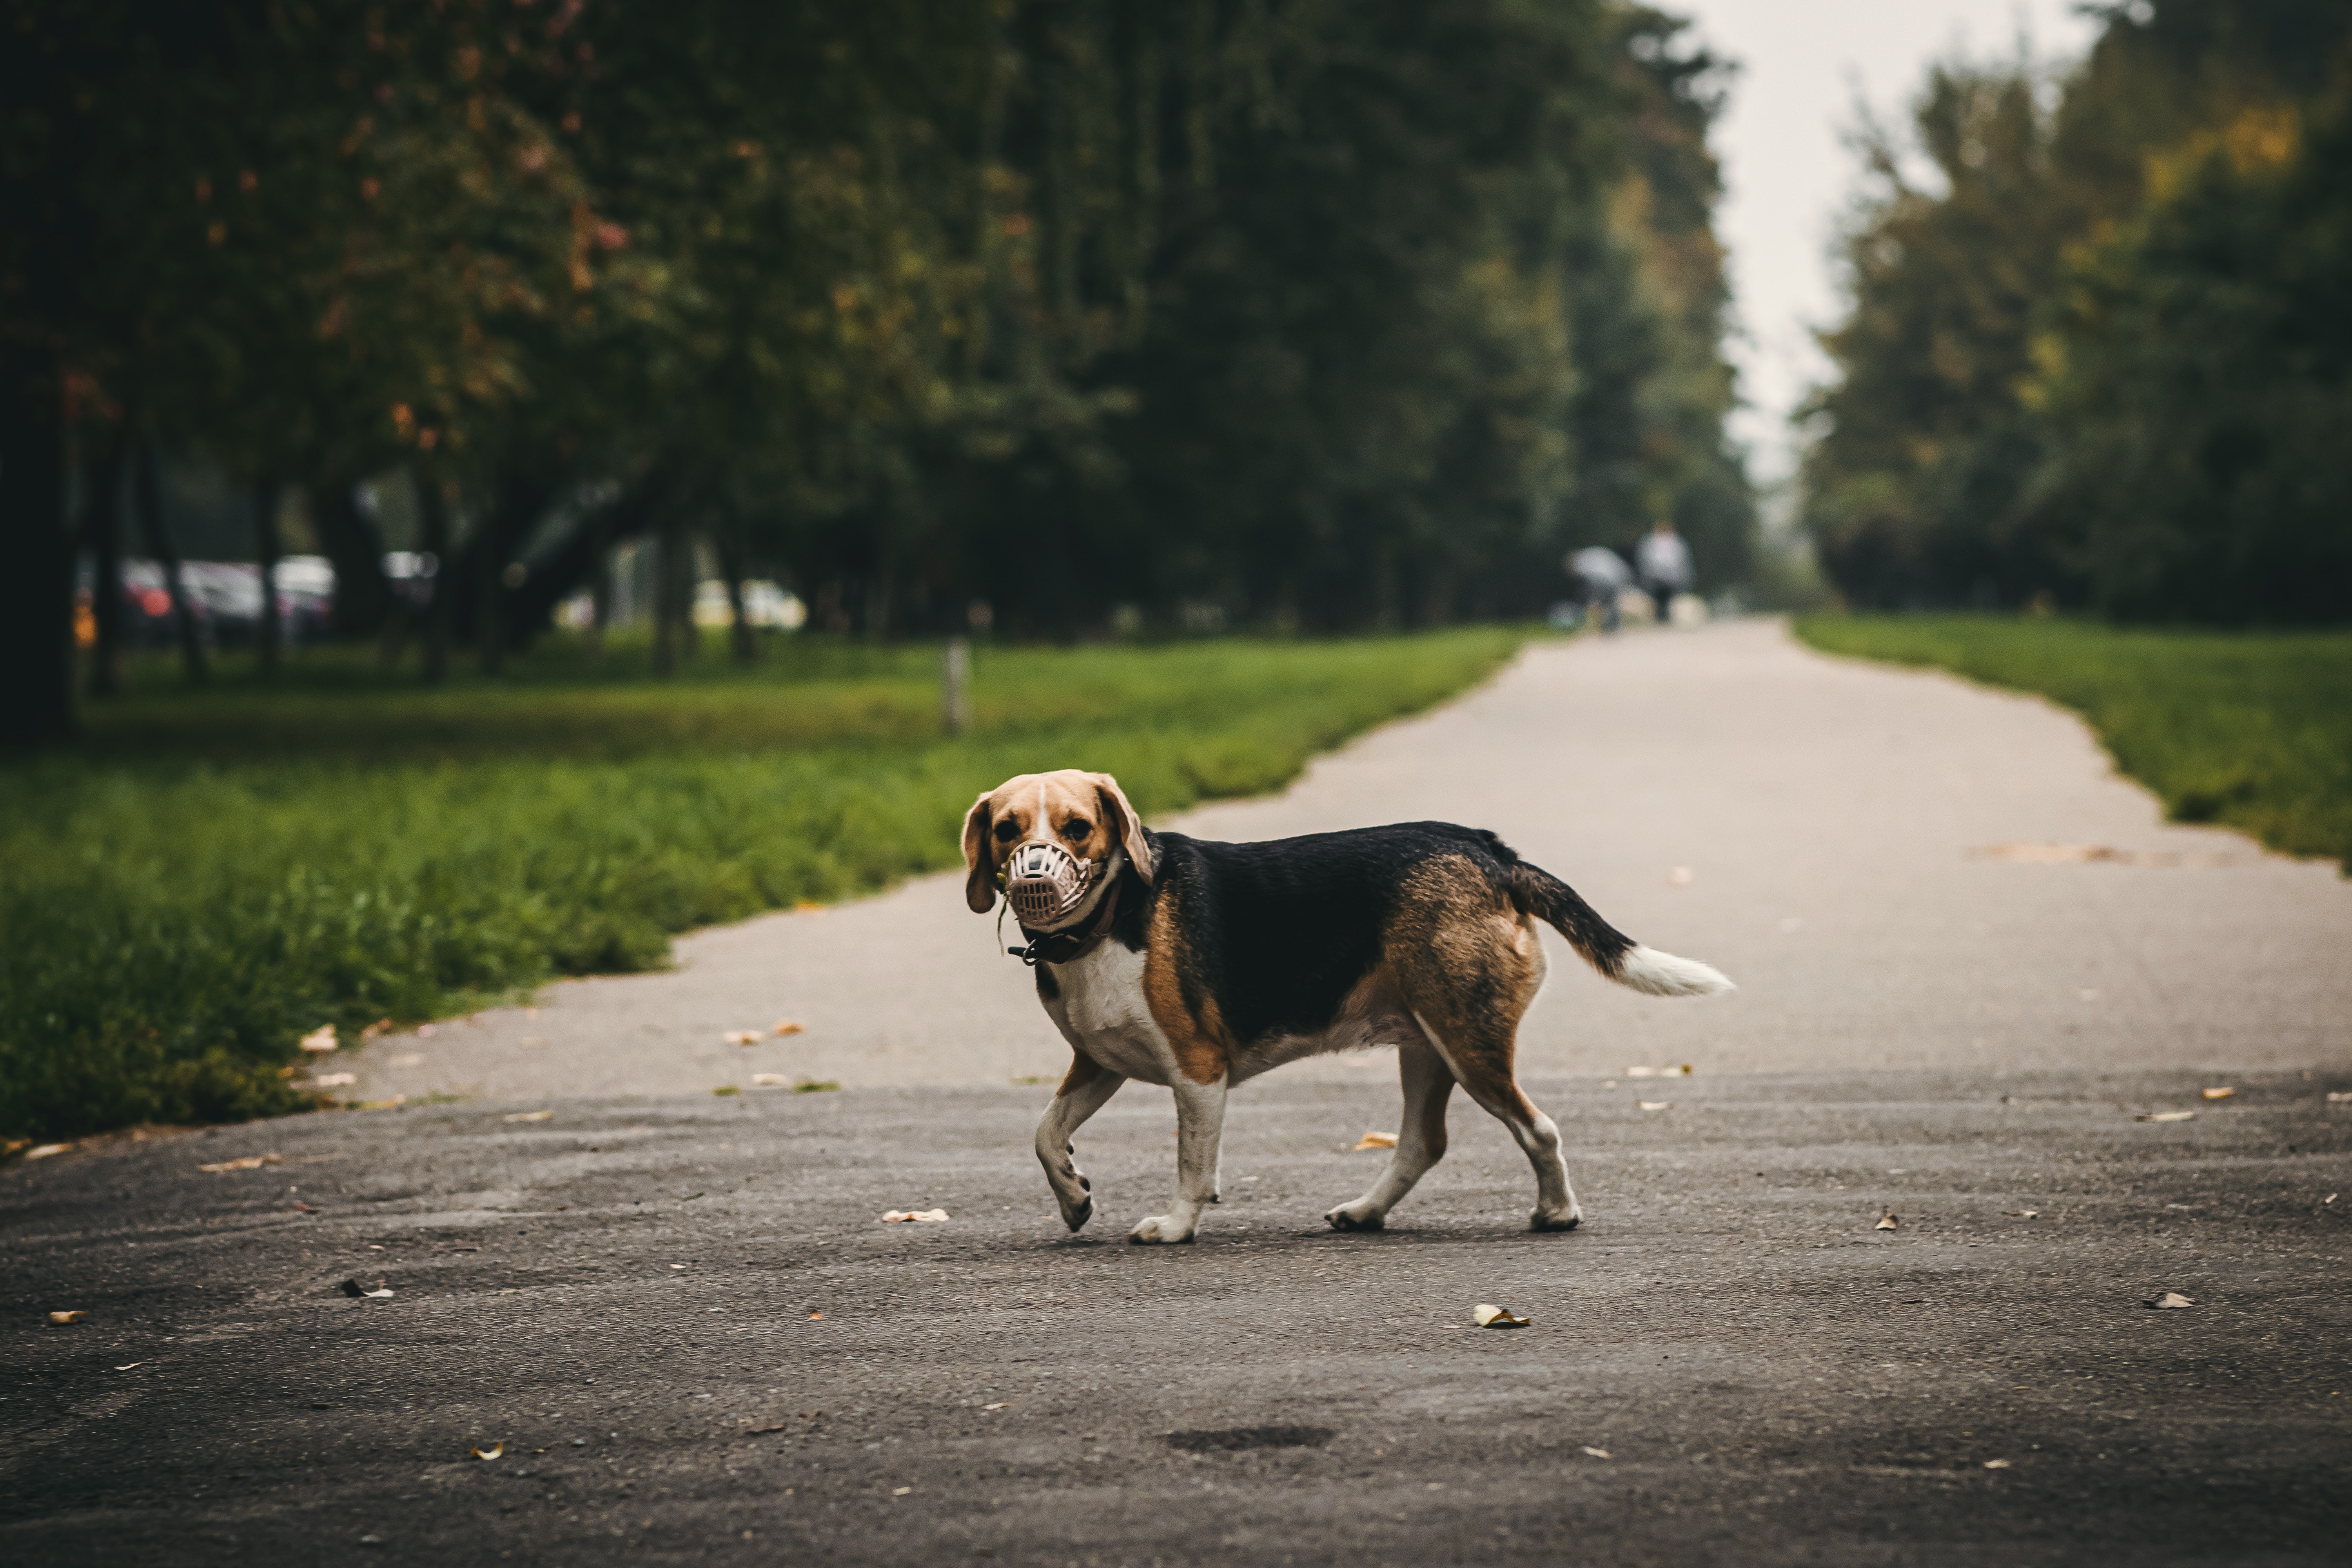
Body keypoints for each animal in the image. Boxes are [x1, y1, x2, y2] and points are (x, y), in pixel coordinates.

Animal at [964, 776, 1740, 1250]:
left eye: (1078, 828)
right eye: (1006, 830)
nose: (1035, 874)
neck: (1110, 919)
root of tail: (1488, 850)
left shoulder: (1198, 1070)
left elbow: (1192, 1163)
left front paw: (1177, 1225)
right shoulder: (1098, 1064)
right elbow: (1045, 1133)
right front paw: (1073, 1197)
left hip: (1467, 1041)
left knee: (1538, 1127)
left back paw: (1557, 1212)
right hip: (1426, 1046)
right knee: (1424, 1143)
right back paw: (1368, 1211)